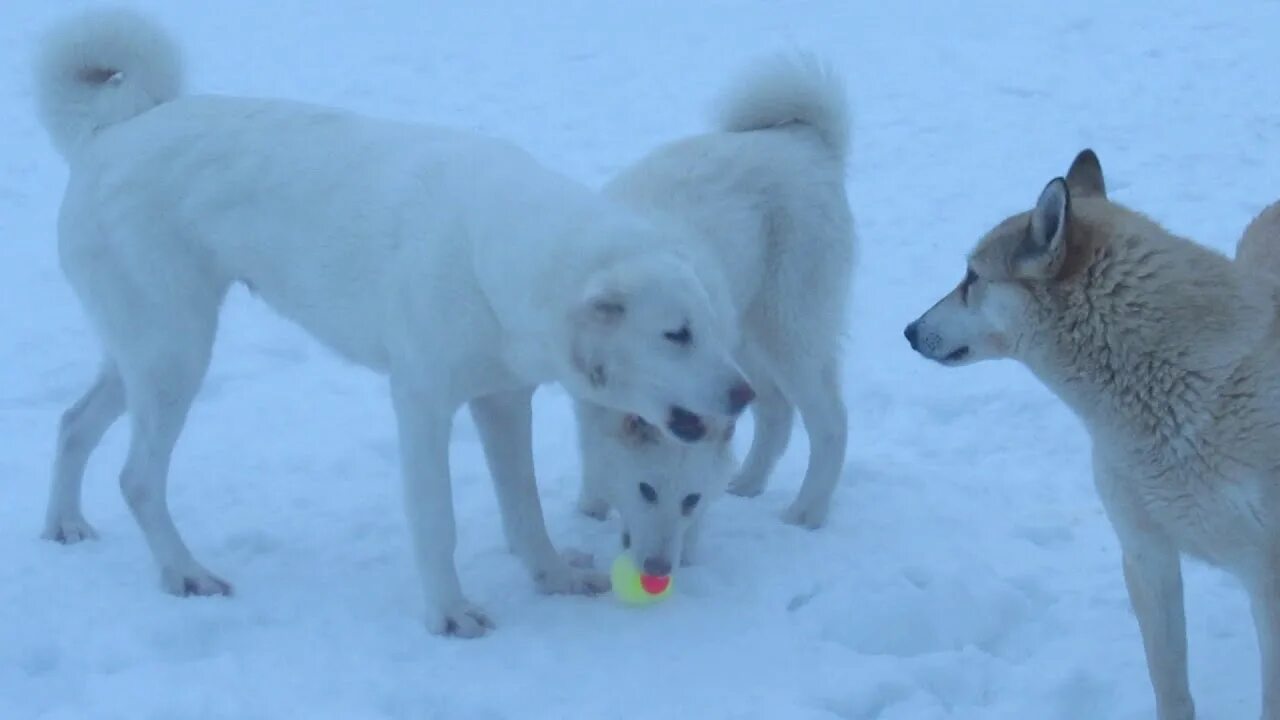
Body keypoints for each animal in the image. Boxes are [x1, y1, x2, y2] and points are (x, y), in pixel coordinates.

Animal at [30, 5, 752, 632]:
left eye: (714, 330)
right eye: (676, 335)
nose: (746, 395)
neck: (489, 253)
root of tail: (110, 133)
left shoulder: (502, 402)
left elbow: (525, 511)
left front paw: (552, 578)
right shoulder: (423, 403)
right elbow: (438, 521)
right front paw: (450, 614)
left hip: (144, 354)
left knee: (73, 423)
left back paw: (65, 524)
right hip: (175, 354)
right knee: (136, 478)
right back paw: (185, 573)